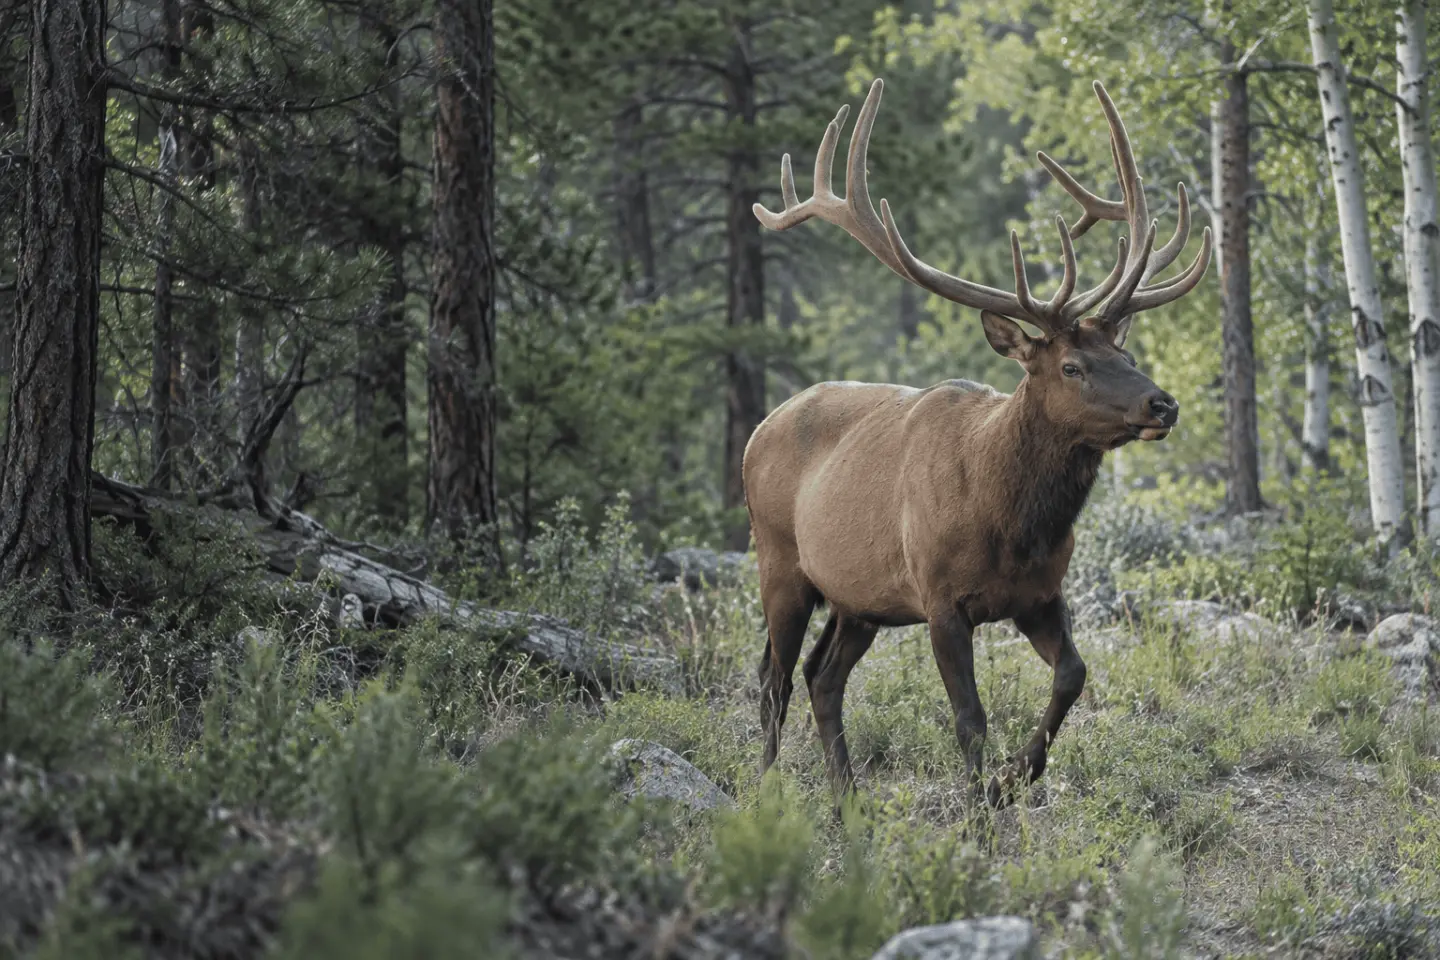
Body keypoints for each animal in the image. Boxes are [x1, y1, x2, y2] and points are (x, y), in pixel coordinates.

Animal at [744, 78, 1211, 808]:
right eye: (1071, 367)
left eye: (1124, 352)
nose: (1162, 402)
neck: (1013, 523)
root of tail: (757, 431)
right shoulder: (940, 599)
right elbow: (969, 717)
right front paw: (981, 805)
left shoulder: (1040, 596)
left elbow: (1073, 676)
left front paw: (1014, 777)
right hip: (781, 562)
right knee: (774, 680)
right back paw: (768, 796)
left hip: (859, 599)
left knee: (823, 677)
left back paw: (850, 803)